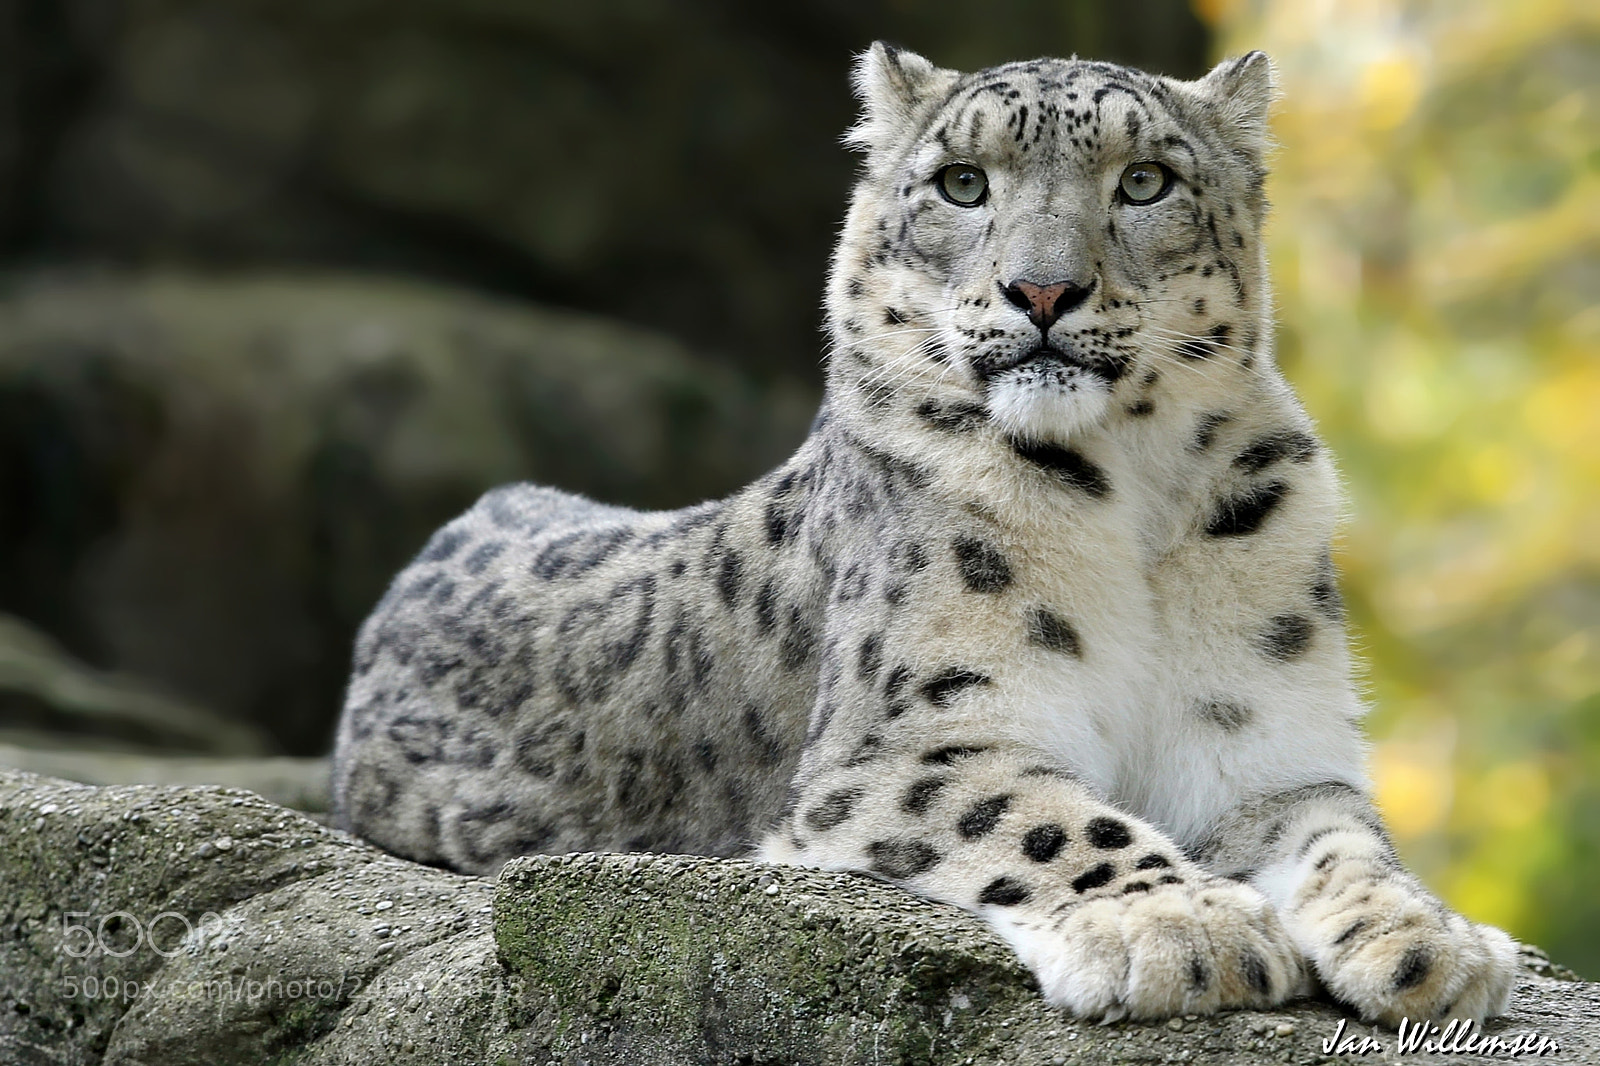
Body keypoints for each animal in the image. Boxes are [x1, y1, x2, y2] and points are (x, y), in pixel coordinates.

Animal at [331, 43, 1518, 1026]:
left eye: (1144, 182)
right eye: (962, 181)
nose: (1043, 288)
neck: (1136, 497)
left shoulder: (1260, 748)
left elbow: (1345, 841)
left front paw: (1435, 943)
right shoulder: (907, 746)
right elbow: (1052, 816)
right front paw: (1184, 927)